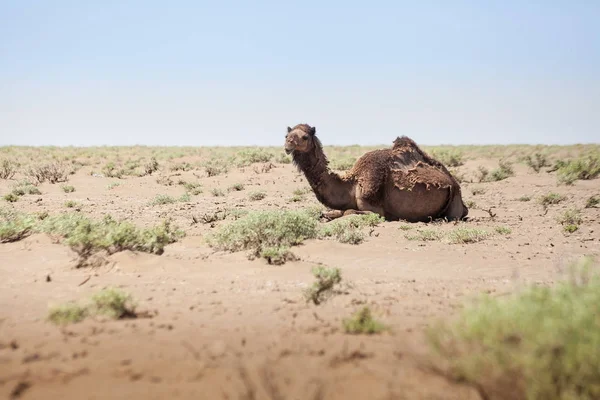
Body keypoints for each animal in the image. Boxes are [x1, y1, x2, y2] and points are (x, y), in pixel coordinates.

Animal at [286, 122, 468, 222]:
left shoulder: (375, 209)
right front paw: (326, 214)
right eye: (287, 135)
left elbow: (349, 211)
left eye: (304, 137)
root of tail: (454, 184)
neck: (352, 183)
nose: (288, 144)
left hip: (454, 205)